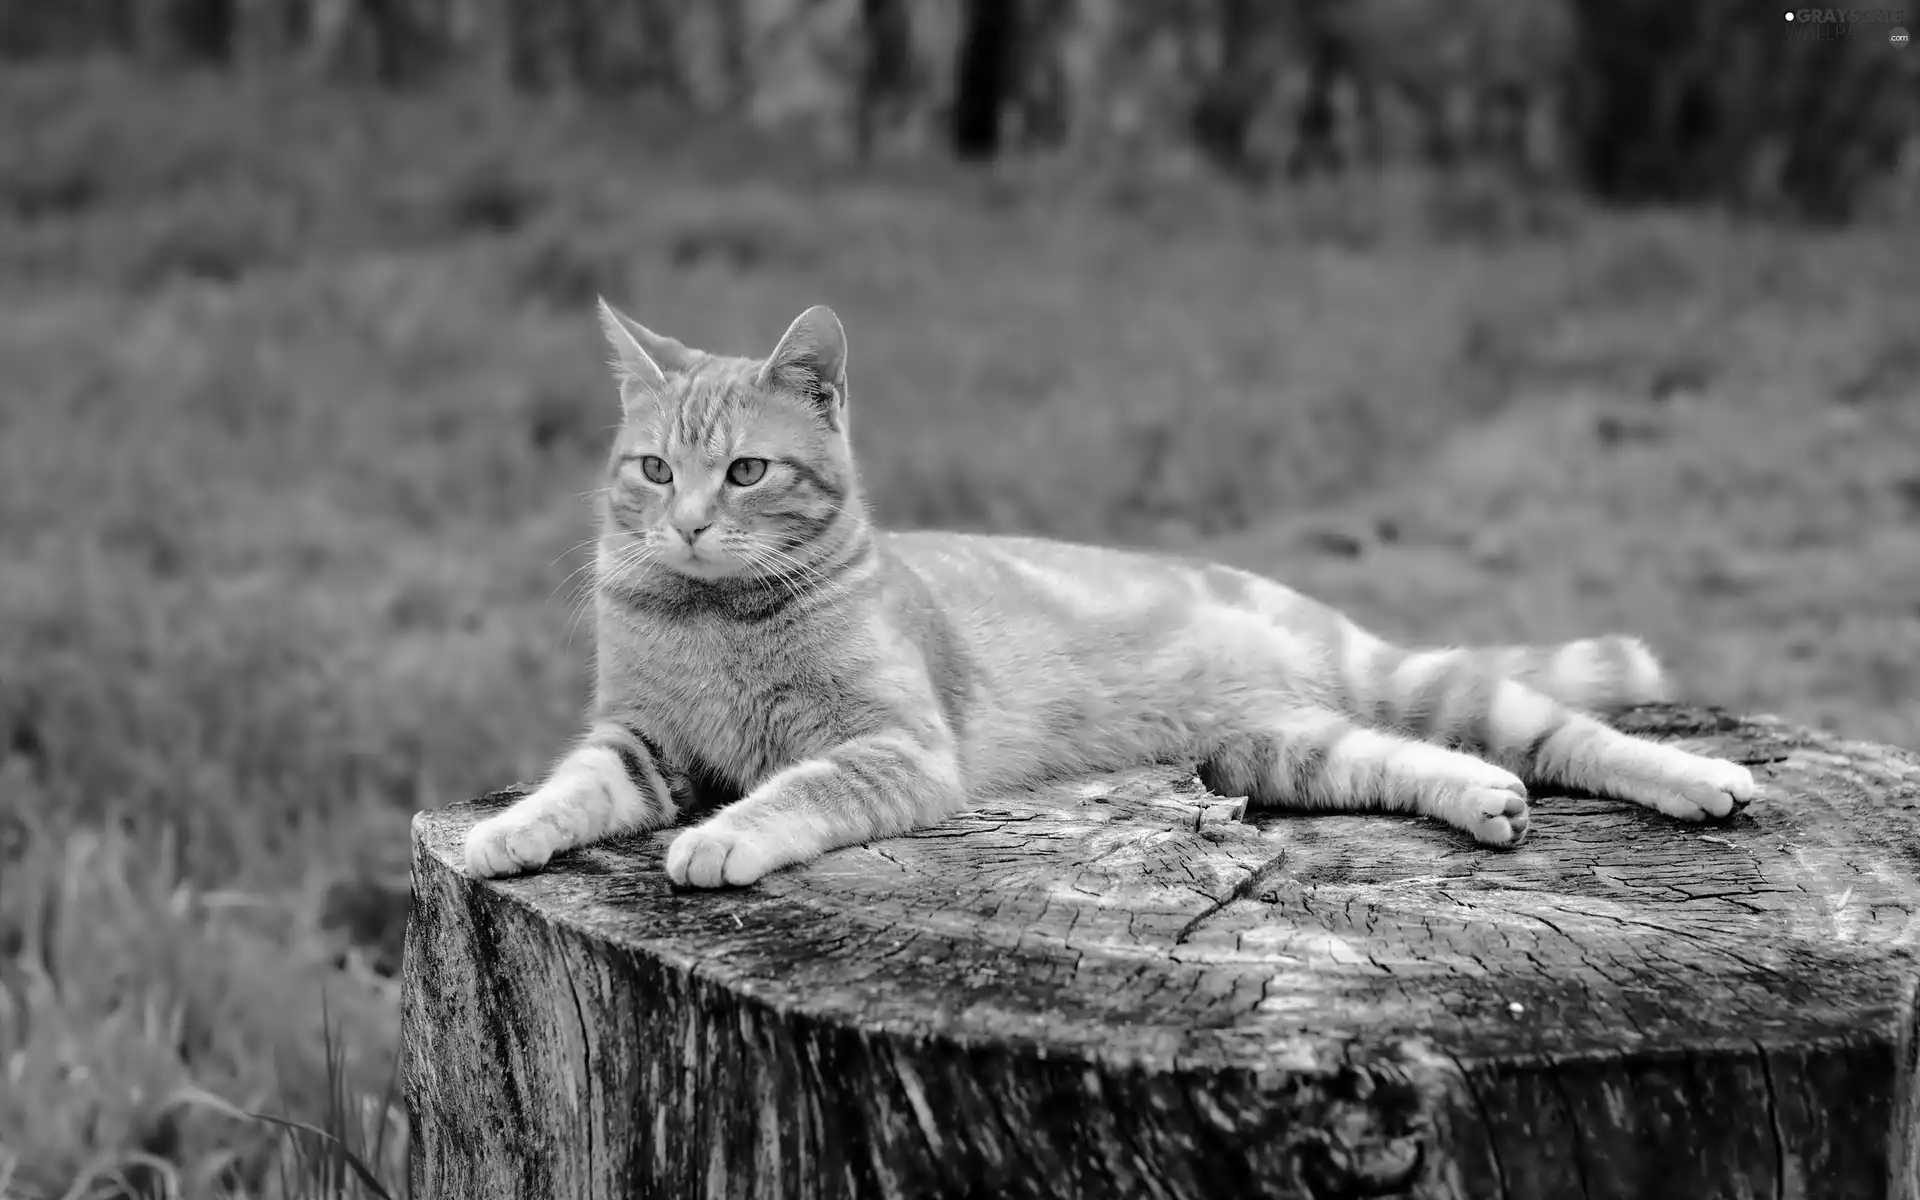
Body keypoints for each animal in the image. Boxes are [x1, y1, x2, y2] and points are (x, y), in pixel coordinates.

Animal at [460, 303, 1758, 883]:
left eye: (744, 473)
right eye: (652, 470)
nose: (685, 524)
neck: (716, 621)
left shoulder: (891, 750)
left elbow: (792, 791)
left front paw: (722, 839)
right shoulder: (640, 743)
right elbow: (573, 788)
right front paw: (500, 837)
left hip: (1411, 682)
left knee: (1563, 730)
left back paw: (1700, 782)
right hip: (1277, 750)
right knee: (1409, 761)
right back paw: (1481, 799)